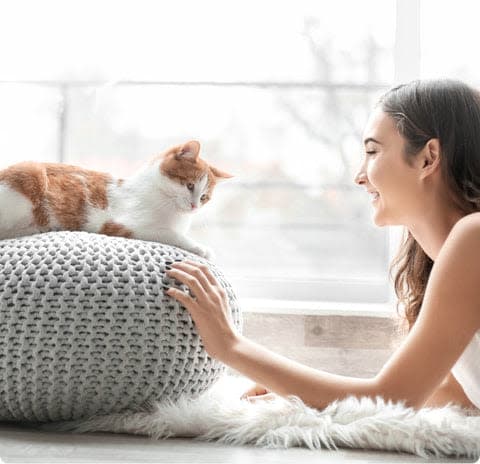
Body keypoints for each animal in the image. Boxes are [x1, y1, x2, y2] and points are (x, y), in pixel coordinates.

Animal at [0, 140, 231, 260]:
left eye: (204, 197)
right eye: (189, 185)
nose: (194, 206)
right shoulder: (126, 225)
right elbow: (171, 235)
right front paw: (201, 248)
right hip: (32, 175)